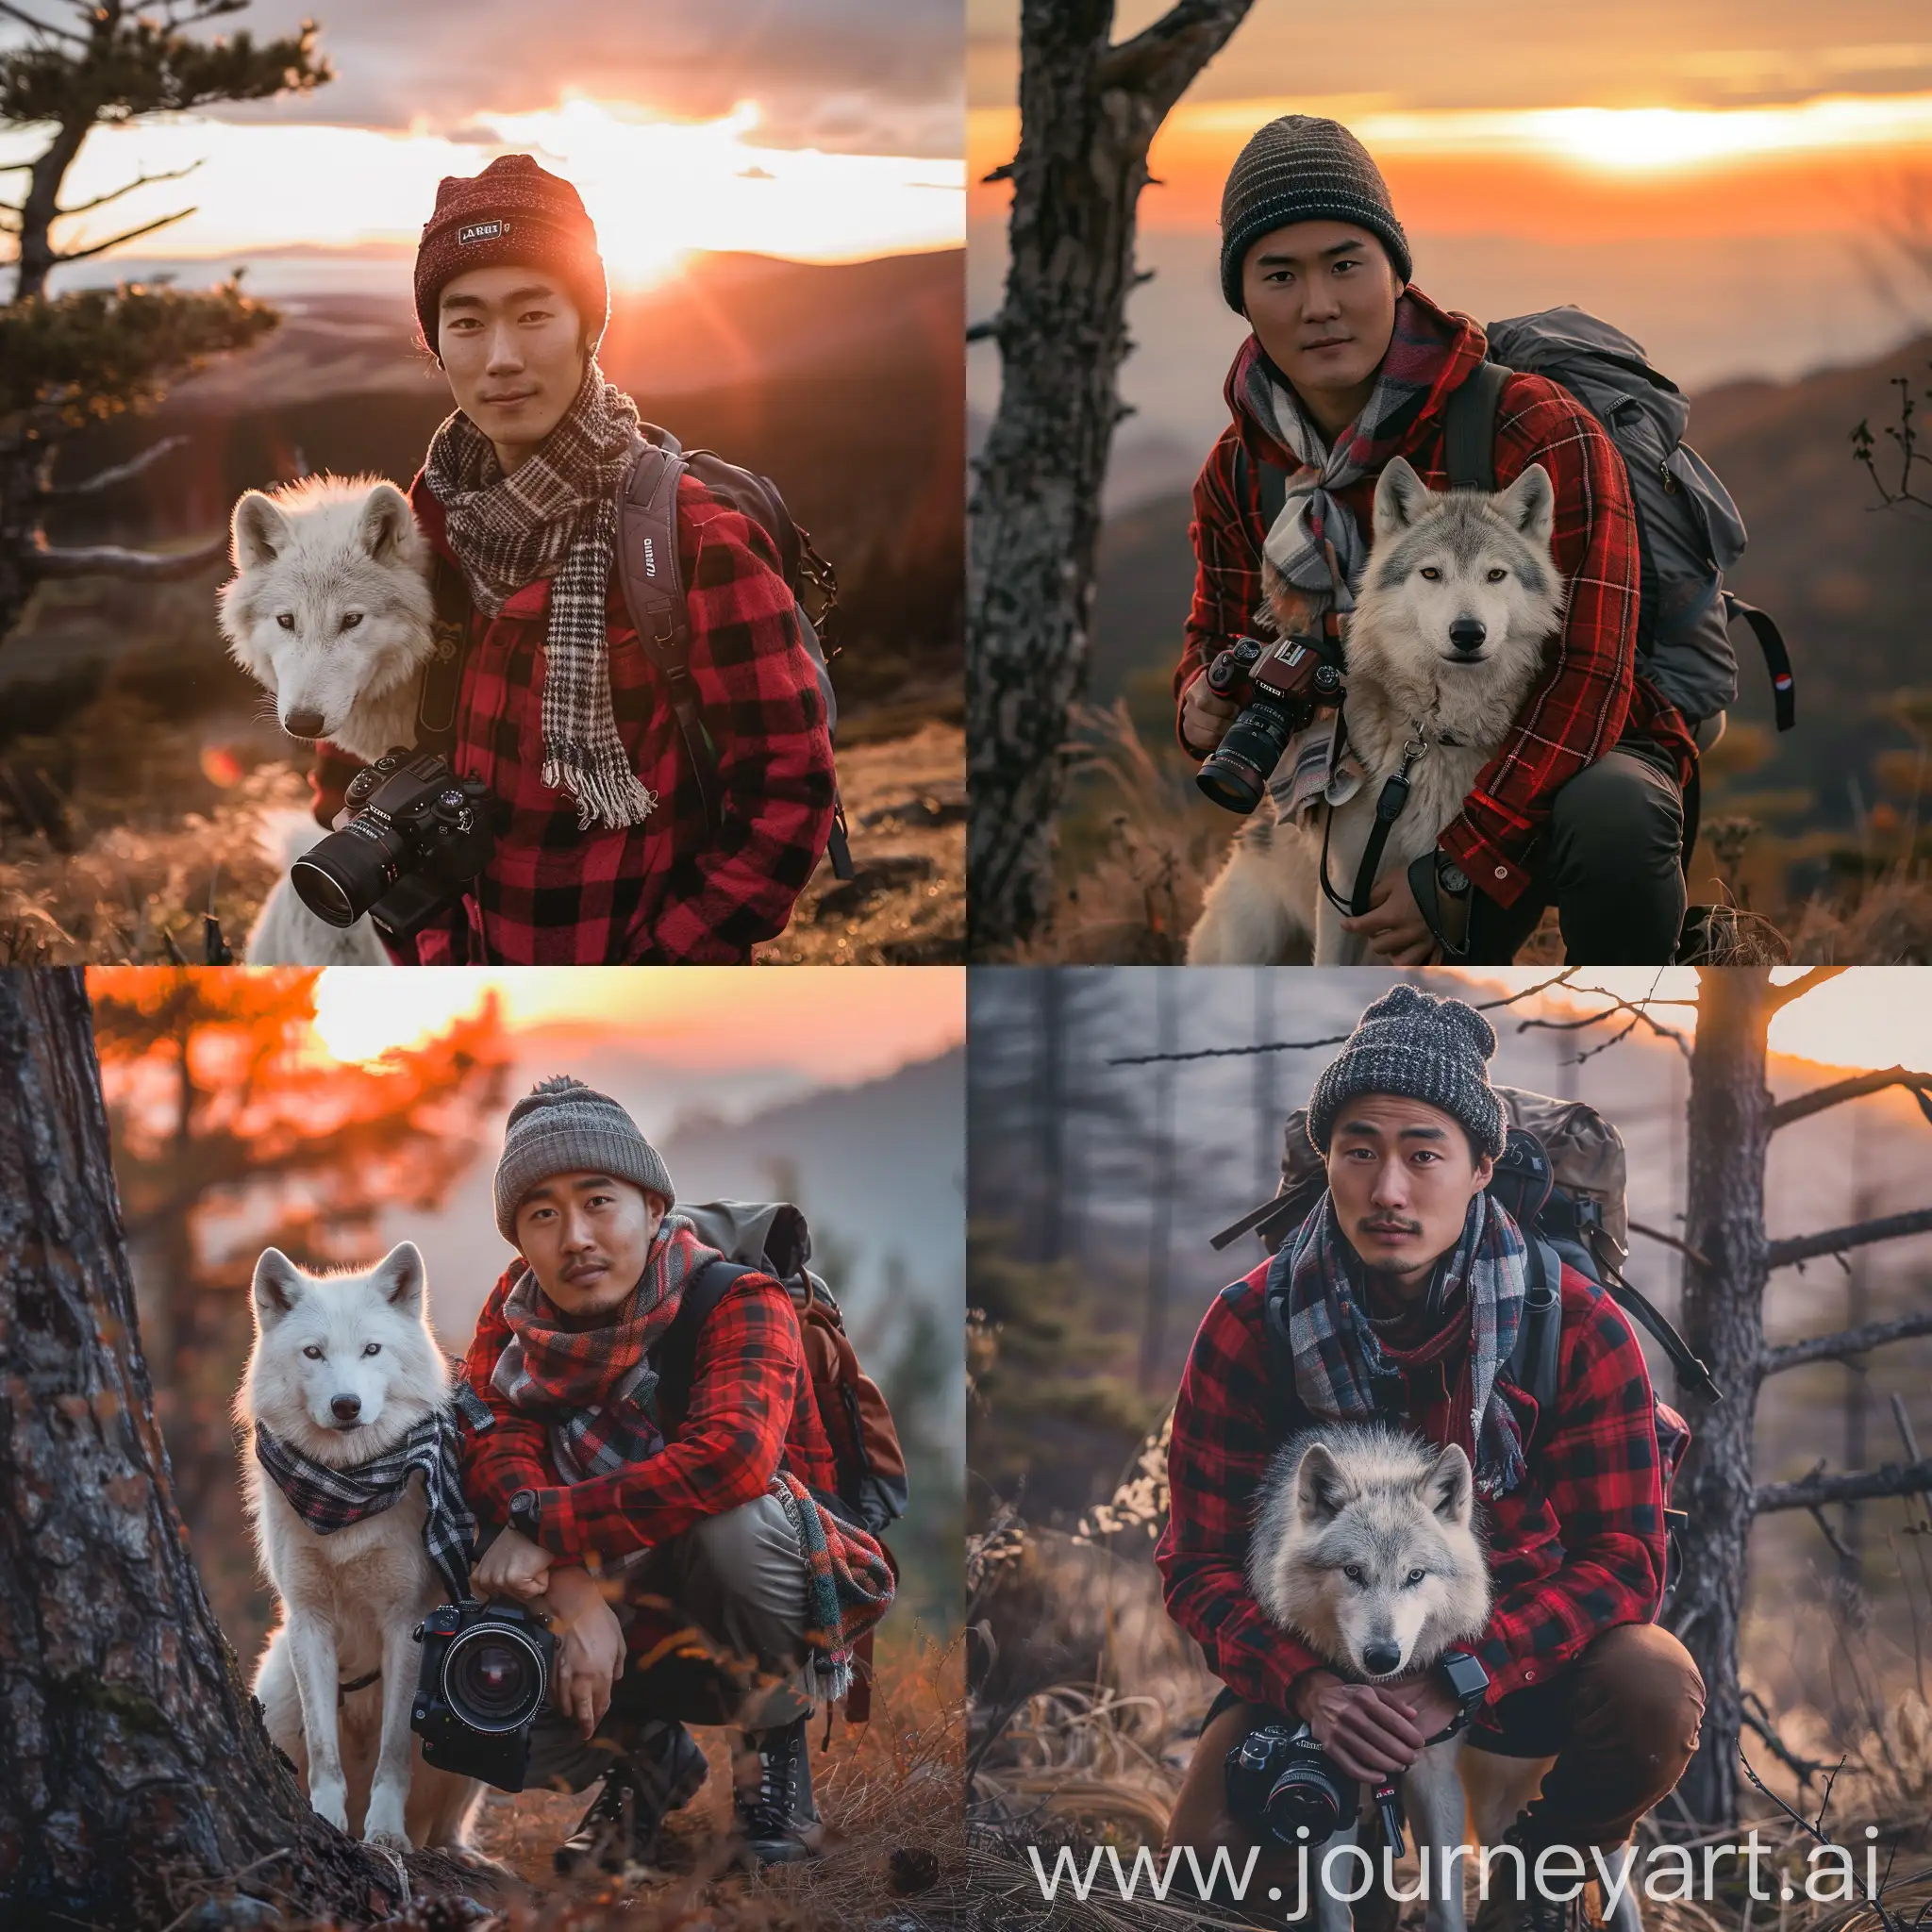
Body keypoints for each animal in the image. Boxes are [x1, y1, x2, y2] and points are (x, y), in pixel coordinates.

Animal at [235, 1243, 480, 1846]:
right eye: (314, 1353)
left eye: (372, 1350)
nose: (346, 1405)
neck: (348, 1488)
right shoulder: (308, 1622)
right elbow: (325, 1755)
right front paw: (327, 1821)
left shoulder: (407, 1624)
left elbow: (393, 1755)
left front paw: (384, 1835)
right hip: (278, 1695)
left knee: (447, 1829)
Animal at [1182, 454, 1560, 966]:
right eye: (1431, 574)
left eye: (1495, 575)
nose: (1467, 633)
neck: (1431, 738)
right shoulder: (1342, 886)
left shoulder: (1437, 914)